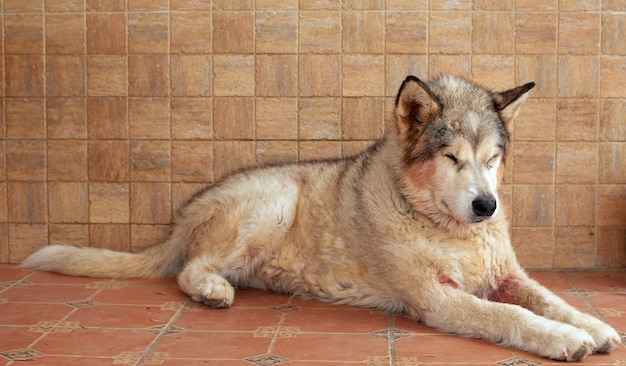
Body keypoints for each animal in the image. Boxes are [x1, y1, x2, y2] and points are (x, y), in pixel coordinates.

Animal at [20, 74, 620, 360]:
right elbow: (513, 316)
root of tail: (189, 208)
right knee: (189, 269)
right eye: (452, 158)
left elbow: (553, 300)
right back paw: (212, 290)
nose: (486, 205)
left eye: (493, 158)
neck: (444, 227)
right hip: (274, 202)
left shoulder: (509, 275)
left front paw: (595, 326)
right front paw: (563, 339)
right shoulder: (438, 299)